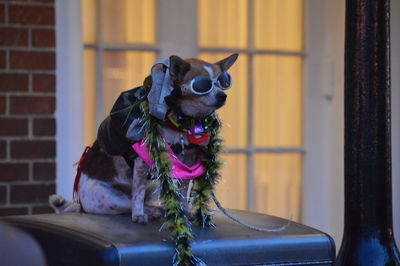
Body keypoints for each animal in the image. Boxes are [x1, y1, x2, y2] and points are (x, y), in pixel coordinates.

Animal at [50, 54, 238, 224]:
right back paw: (151, 211)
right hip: (111, 199)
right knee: (129, 203)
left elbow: (184, 193)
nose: (223, 96)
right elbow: (138, 193)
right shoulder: (142, 162)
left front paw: (185, 213)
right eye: (201, 85)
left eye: (221, 82)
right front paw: (138, 215)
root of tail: (80, 204)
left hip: (154, 186)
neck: (179, 121)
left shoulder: (188, 164)